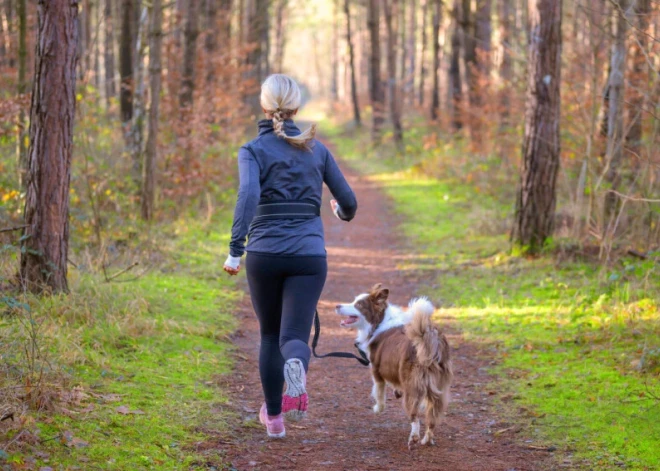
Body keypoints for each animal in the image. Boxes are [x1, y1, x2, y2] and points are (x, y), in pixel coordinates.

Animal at [338, 284, 452, 446]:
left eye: (359, 305)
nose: (337, 306)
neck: (379, 322)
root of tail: (429, 340)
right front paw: (397, 391)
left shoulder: (376, 370)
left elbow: (379, 394)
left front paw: (377, 408)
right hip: (439, 389)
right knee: (432, 418)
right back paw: (426, 439)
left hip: (413, 386)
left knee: (415, 416)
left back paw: (414, 437)